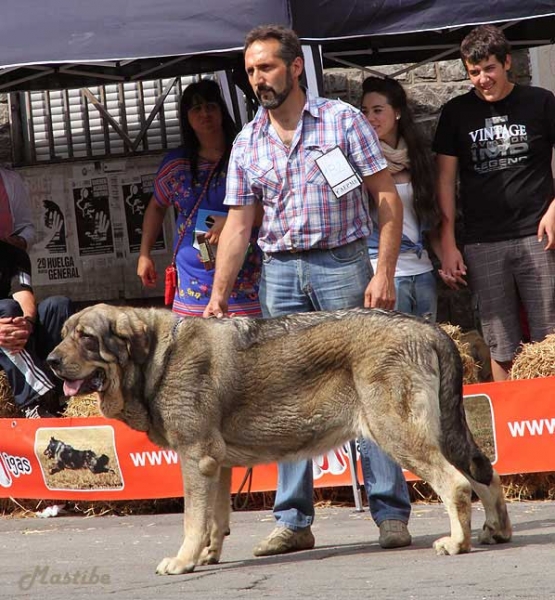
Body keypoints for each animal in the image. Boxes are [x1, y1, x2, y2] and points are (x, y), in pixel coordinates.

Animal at [47, 308, 512, 576]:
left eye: (86, 338)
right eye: (65, 334)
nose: (50, 360)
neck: (157, 356)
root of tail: (431, 329)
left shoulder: (195, 459)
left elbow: (192, 520)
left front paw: (182, 562)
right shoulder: (216, 465)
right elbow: (215, 519)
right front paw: (207, 556)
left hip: (398, 434)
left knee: (456, 484)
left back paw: (457, 543)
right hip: (440, 435)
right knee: (486, 475)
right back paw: (496, 531)